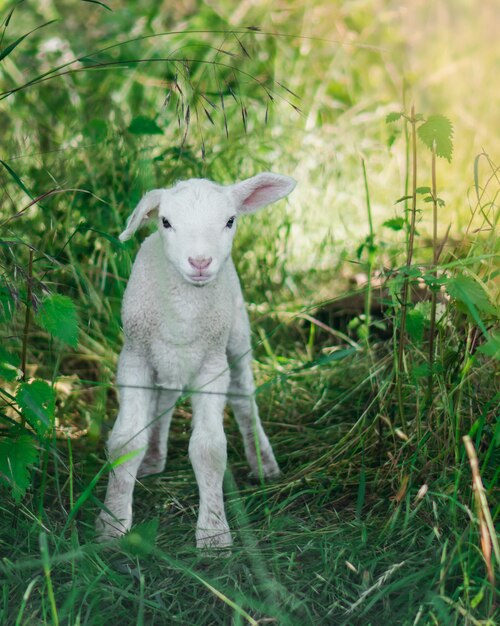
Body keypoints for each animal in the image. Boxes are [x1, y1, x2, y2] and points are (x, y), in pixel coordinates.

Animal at [95, 171, 294, 544]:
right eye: (165, 222)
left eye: (230, 220)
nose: (200, 262)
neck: (184, 308)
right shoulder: (134, 359)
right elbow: (125, 442)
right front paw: (111, 523)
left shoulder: (212, 367)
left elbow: (209, 450)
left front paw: (214, 534)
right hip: (166, 358)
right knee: (165, 401)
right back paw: (153, 458)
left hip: (237, 337)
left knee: (244, 399)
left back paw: (263, 462)